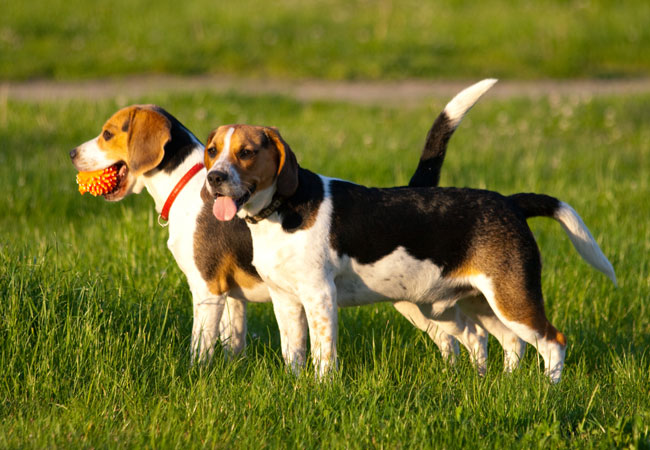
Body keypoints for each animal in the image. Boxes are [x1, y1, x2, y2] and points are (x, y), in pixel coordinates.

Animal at [70, 79, 516, 369]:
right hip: (421, 300)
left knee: (468, 338)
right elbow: (234, 342)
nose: (73, 153)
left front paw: (196, 375)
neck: (186, 180)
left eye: (107, 134)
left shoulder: (207, 291)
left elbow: (201, 347)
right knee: (466, 339)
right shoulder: (234, 298)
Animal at [203, 119, 616, 383]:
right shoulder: (285, 300)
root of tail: (511, 203)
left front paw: (322, 388)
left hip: (513, 299)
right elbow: (294, 352)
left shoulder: (319, 296)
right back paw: (504, 384)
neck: (280, 210)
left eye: (246, 152)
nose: (214, 177)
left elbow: (323, 354)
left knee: (553, 342)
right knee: (508, 342)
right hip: (476, 303)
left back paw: (550, 389)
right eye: (212, 151)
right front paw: (296, 385)